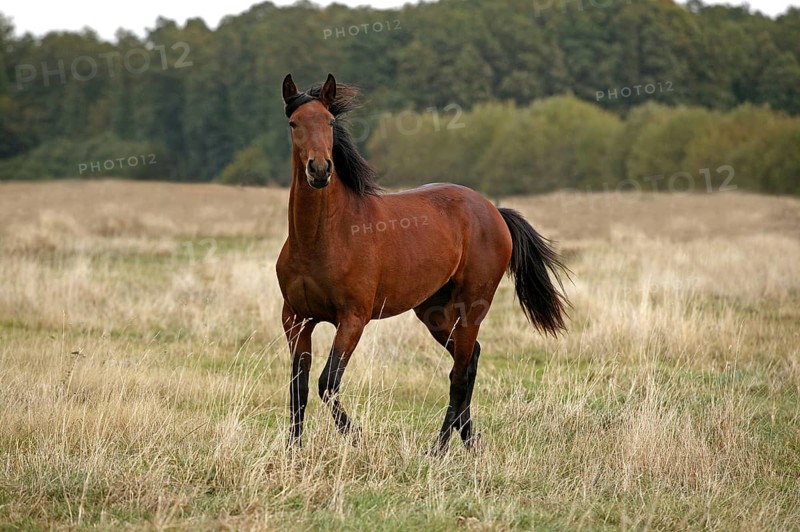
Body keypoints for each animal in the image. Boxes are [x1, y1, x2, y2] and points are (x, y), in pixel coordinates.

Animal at [276, 73, 569, 454]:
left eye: (328, 122)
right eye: (294, 123)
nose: (320, 170)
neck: (321, 240)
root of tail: (493, 211)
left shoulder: (353, 319)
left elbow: (327, 382)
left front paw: (357, 438)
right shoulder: (296, 319)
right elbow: (299, 388)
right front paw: (293, 451)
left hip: (472, 306)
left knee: (460, 373)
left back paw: (439, 449)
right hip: (433, 312)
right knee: (469, 359)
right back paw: (468, 441)